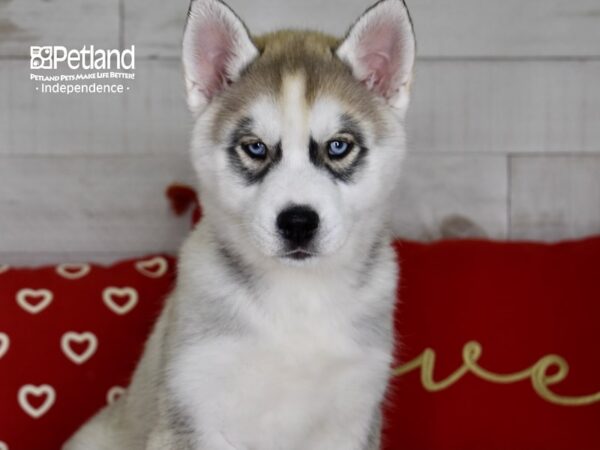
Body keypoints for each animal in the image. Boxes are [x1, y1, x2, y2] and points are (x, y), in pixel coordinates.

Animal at [64, 0, 412, 448]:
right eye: (255, 148)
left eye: (338, 146)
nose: (298, 223)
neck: (298, 300)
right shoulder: (193, 409)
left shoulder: (353, 417)